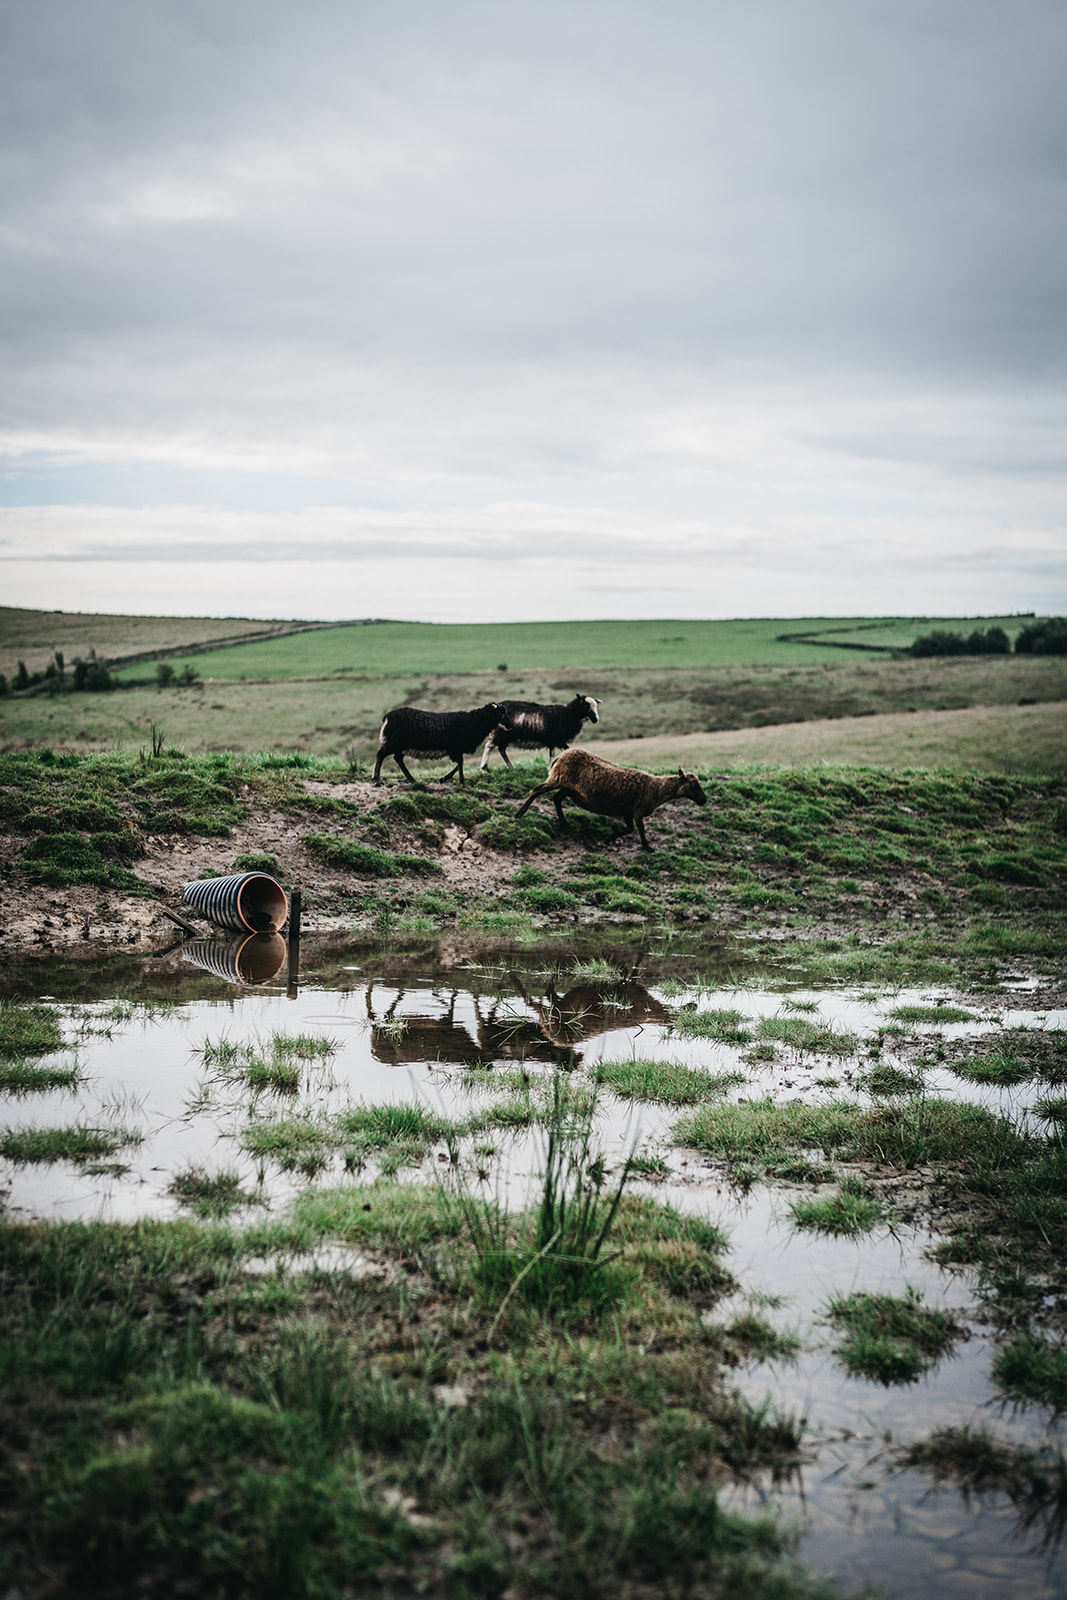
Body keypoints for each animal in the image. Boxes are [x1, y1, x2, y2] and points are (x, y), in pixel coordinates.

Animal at [518, 748, 710, 851]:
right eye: (694, 785)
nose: (703, 800)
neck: (657, 789)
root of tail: (561, 755)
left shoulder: (627, 811)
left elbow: (628, 829)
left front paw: (608, 839)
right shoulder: (638, 810)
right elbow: (639, 829)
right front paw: (647, 847)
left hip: (569, 788)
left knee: (557, 799)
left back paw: (564, 823)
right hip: (558, 778)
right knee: (537, 790)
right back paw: (520, 813)